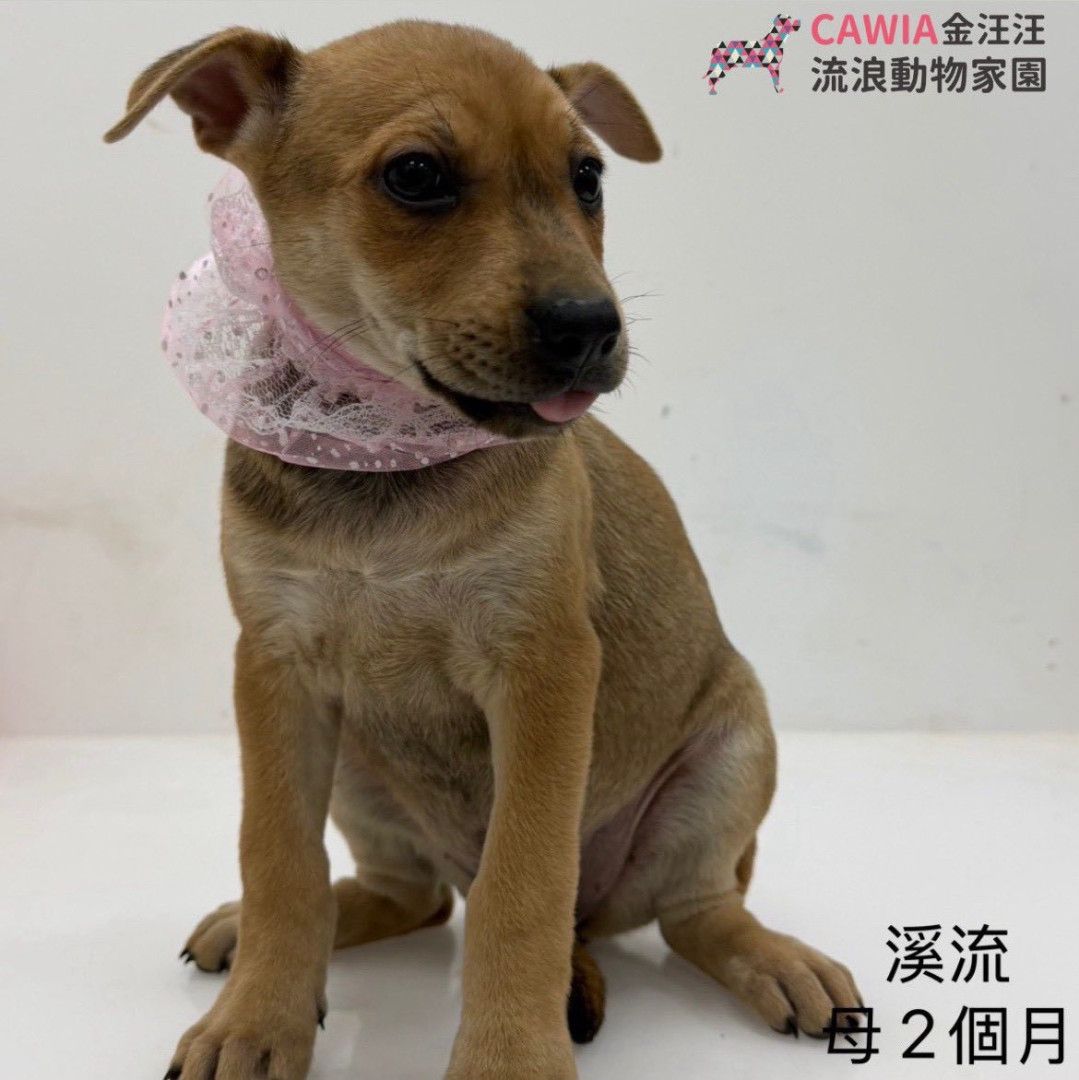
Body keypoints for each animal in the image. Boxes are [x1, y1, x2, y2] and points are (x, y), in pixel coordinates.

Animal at [105, 20, 859, 1080]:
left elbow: (523, 884)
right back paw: (249, 927)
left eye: (587, 176)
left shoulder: (543, 670)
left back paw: (774, 960)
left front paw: (510, 1055)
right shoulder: (275, 669)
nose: (592, 327)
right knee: (410, 893)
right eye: (416, 175)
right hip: (360, 767)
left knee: (692, 910)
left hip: (730, 757)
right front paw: (254, 1022)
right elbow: (278, 858)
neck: (385, 454)